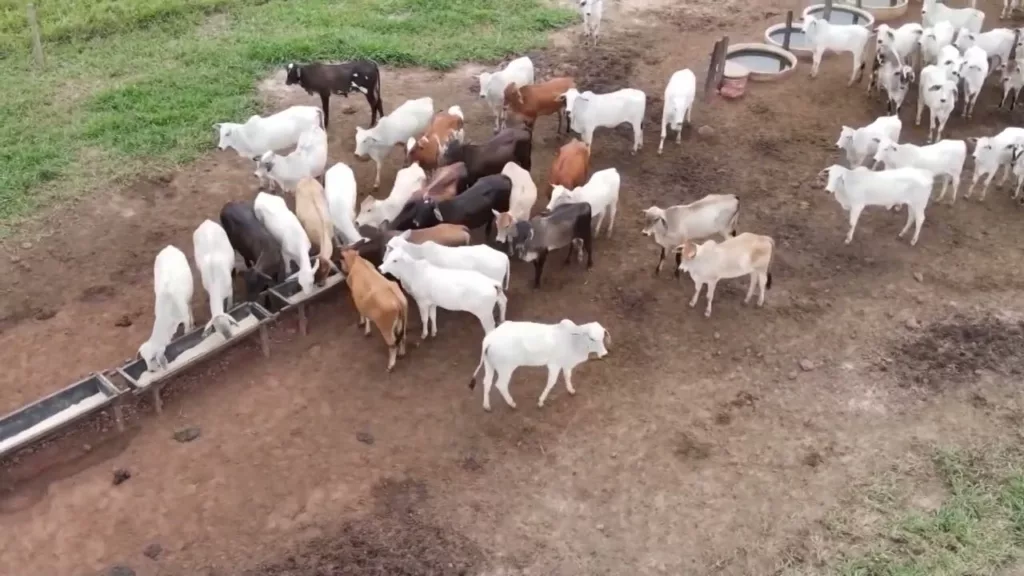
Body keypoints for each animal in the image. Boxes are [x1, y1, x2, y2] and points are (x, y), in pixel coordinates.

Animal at [468, 315, 610, 409]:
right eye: (591, 338)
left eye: (603, 337)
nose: (604, 353)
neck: (573, 341)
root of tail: (489, 339)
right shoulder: (554, 365)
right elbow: (551, 382)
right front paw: (541, 401)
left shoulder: (565, 364)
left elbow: (567, 376)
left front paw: (571, 390)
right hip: (505, 369)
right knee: (500, 385)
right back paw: (512, 403)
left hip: (489, 365)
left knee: (486, 381)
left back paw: (486, 405)